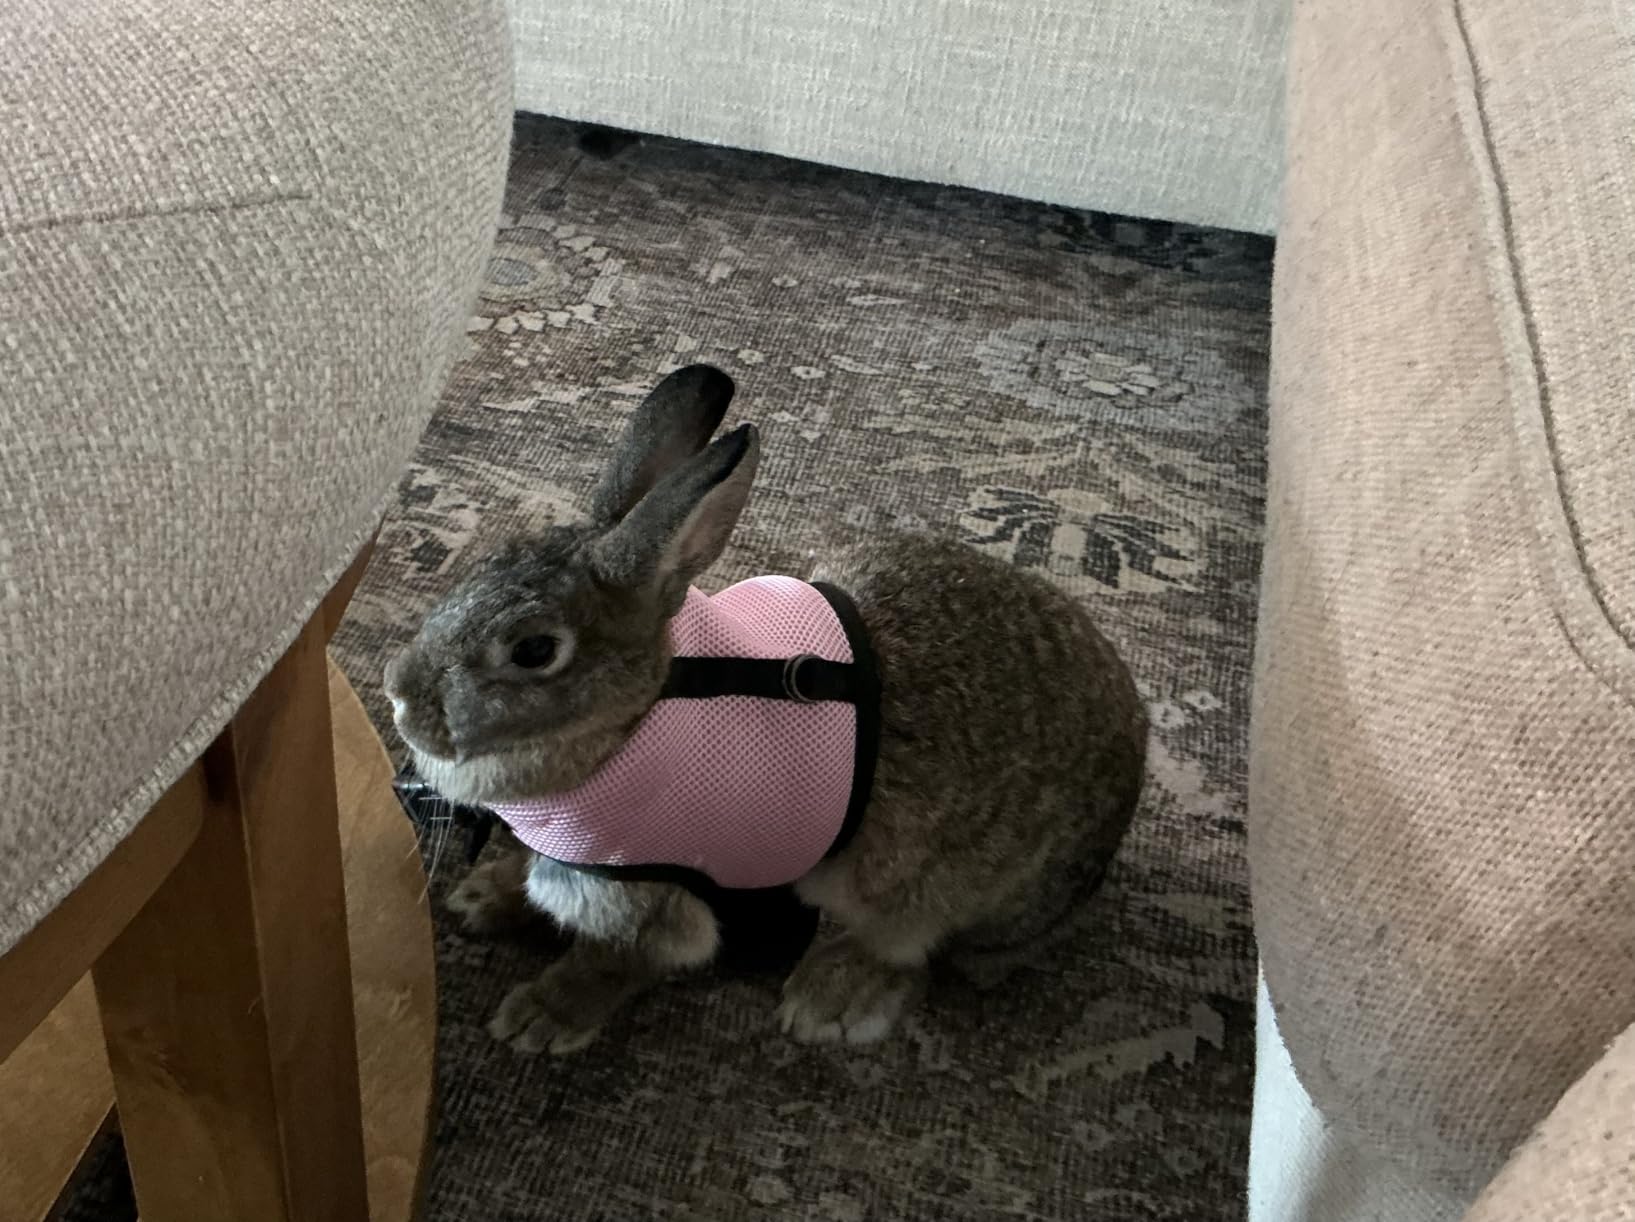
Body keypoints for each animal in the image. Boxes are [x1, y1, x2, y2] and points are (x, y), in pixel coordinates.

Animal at [384, 364, 1147, 1053]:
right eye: (479, 569)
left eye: (534, 650)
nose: (399, 696)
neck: (633, 718)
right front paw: (483, 897)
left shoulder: (643, 894)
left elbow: (616, 959)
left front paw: (542, 1017)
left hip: (924, 888)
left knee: (918, 950)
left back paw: (831, 1000)